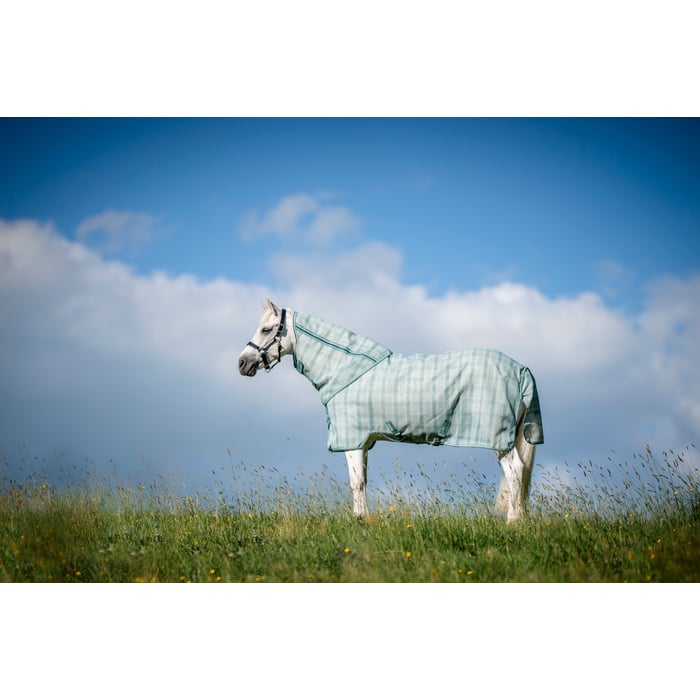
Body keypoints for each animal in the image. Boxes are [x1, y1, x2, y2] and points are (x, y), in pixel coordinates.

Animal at [238, 300, 544, 522]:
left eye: (266, 330)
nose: (243, 363)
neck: (346, 370)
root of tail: (520, 369)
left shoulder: (352, 440)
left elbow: (356, 483)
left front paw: (360, 520)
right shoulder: (365, 442)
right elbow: (362, 479)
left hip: (499, 440)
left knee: (516, 471)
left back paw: (513, 521)